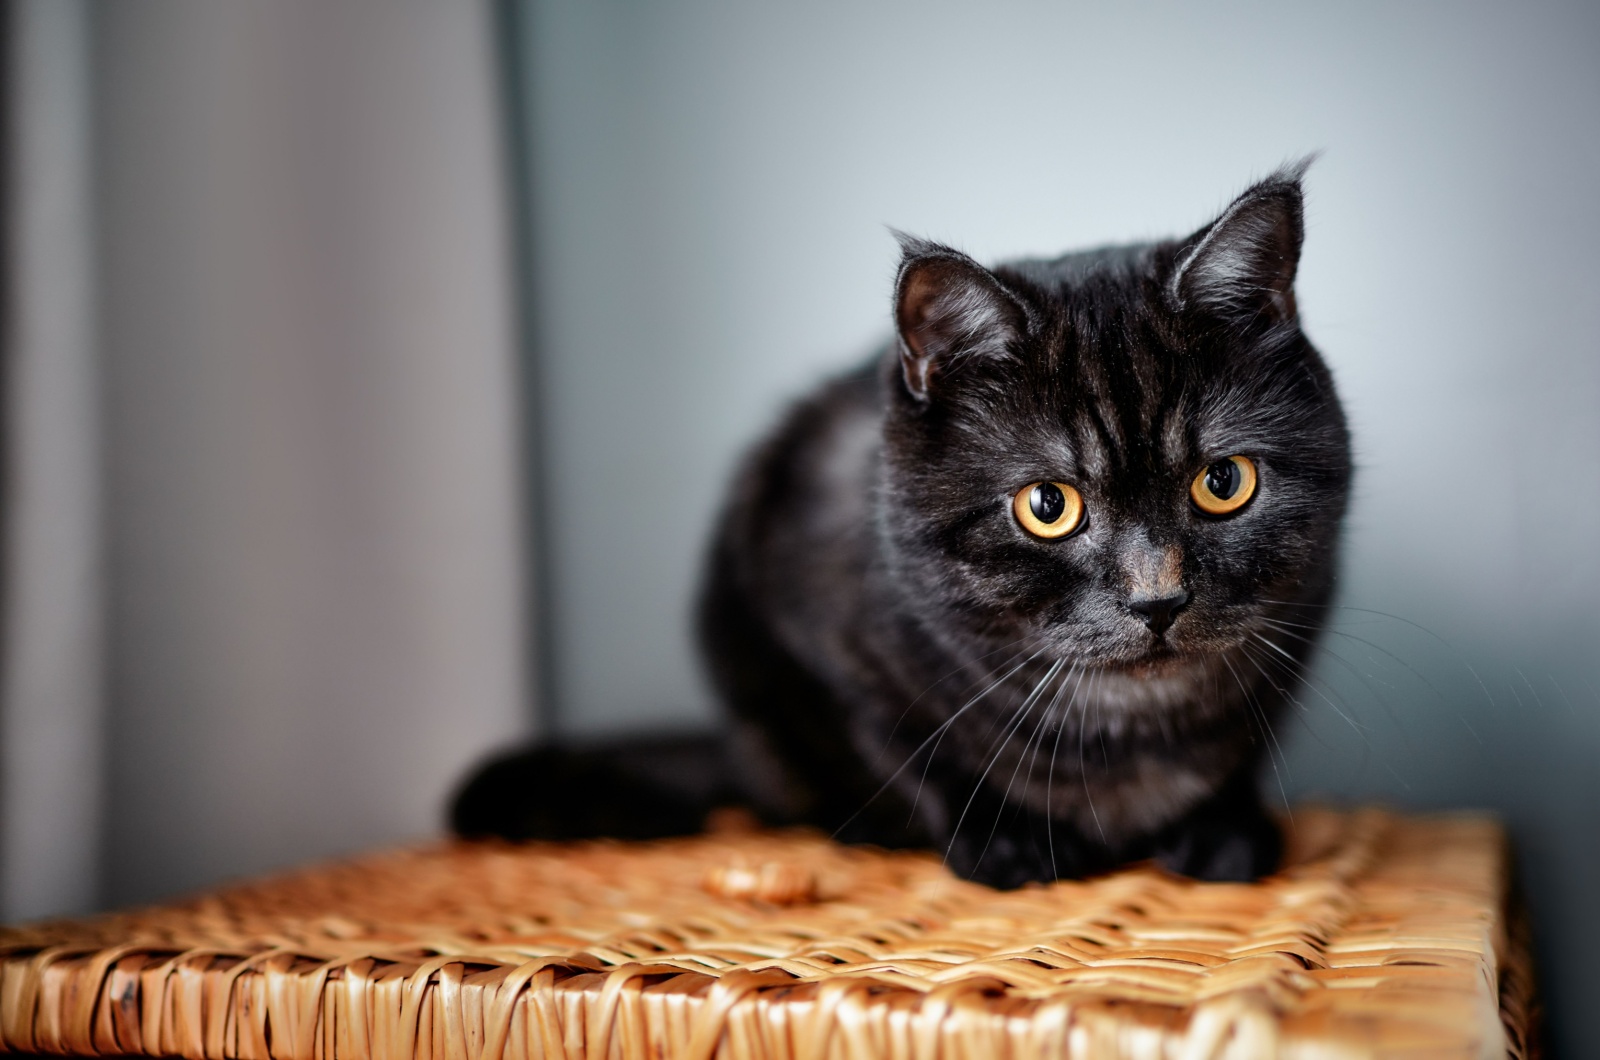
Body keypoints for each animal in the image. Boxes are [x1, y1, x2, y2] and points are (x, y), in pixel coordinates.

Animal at [454, 166, 1350, 890]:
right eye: (1048, 506)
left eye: (1223, 483)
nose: (1157, 599)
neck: (1129, 734)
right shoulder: (832, 641)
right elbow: (920, 750)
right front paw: (1010, 842)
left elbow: (1239, 752)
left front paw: (1224, 832)